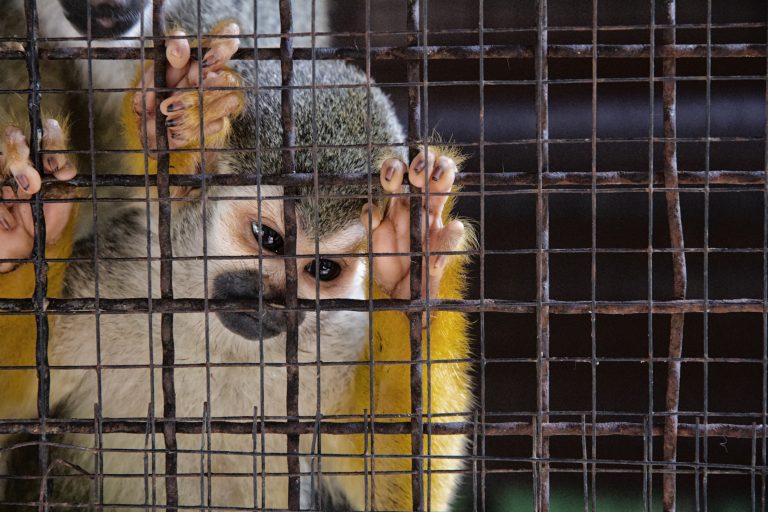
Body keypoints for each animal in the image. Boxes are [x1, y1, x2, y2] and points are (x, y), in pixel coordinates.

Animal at [0, 2, 472, 510]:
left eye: (323, 269)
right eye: (268, 239)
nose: (271, 301)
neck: (220, 344)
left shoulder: (339, 342)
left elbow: (396, 487)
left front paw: (410, 269)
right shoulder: (114, 280)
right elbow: (16, 400)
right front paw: (26, 233)